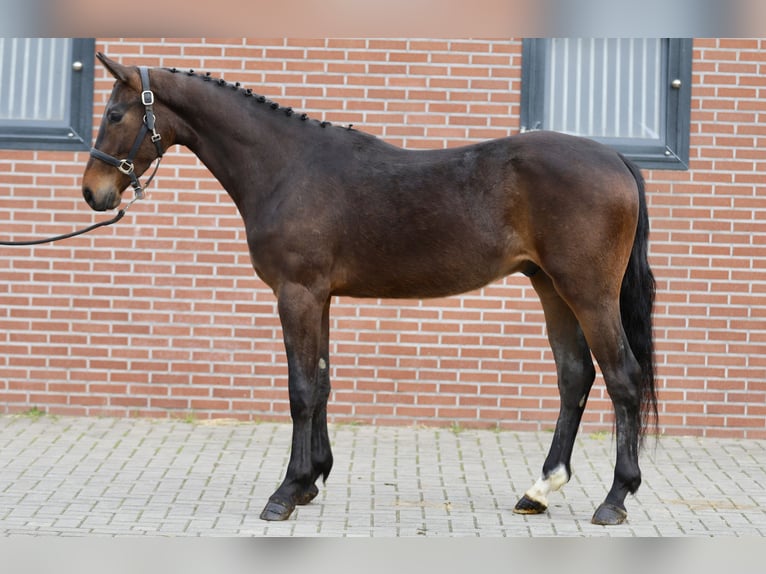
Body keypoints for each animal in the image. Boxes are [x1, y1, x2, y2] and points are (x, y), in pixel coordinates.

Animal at [82, 53, 657, 526]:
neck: (286, 167)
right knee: (575, 376)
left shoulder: (297, 294)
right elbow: (321, 383)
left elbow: (300, 391)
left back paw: (615, 499)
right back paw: (539, 490)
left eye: (115, 115)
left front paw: (285, 492)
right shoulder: (319, 297)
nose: (93, 193)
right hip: (552, 289)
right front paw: (311, 480)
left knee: (622, 378)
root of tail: (616, 159)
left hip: (589, 294)